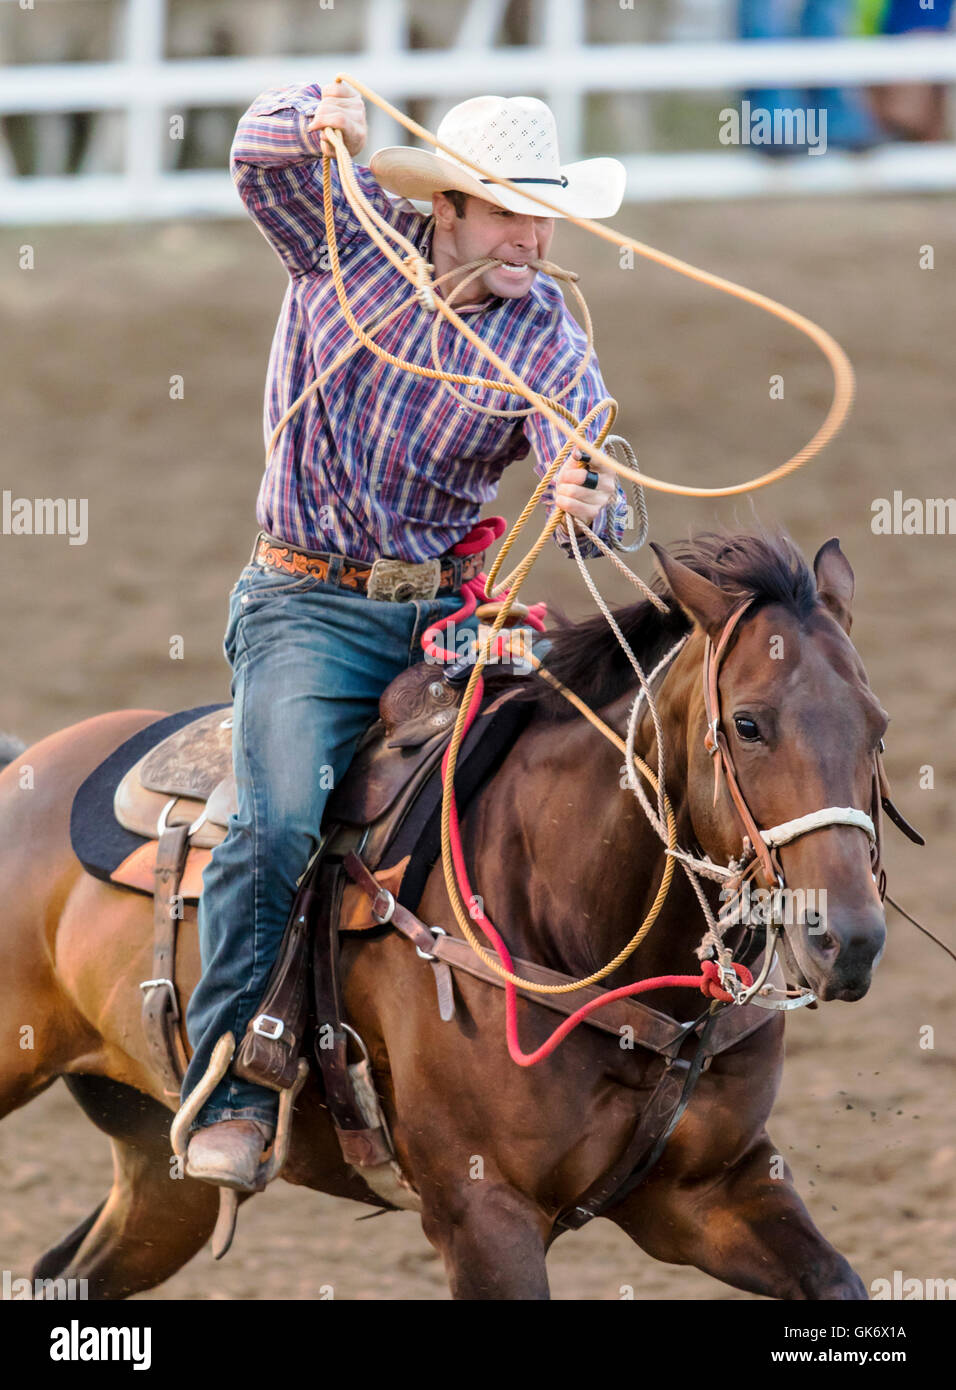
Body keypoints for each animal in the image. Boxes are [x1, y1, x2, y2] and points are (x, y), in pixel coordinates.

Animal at [0, 530, 894, 1301]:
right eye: (747, 723)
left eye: (878, 727)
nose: (847, 940)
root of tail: (29, 767)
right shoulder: (483, 1214)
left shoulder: (713, 1193)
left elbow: (833, 1280)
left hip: (159, 1171)